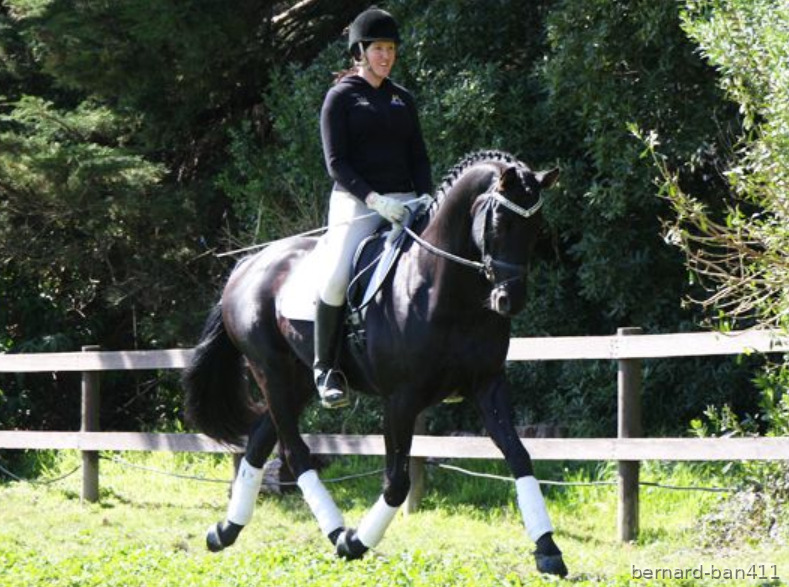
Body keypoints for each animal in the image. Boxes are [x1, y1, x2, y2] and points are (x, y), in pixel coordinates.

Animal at [183, 150, 567, 577]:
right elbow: (397, 481)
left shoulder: (488, 385)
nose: (508, 301)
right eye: (500, 222)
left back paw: (225, 531)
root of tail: (247, 265)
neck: (445, 289)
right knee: (293, 453)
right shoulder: (401, 399)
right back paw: (336, 533)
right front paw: (356, 543)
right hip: (271, 372)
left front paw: (548, 549)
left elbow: (519, 456)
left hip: (296, 381)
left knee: (258, 443)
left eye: (535, 226)